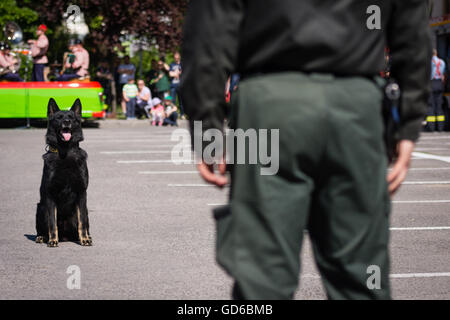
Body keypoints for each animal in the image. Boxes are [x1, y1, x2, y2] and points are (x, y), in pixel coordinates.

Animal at [36, 98, 92, 248]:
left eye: (71, 118)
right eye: (59, 117)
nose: (66, 122)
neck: (65, 152)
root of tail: (66, 237)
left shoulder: (81, 193)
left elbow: (82, 221)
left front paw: (84, 239)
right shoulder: (50, 195)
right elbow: (52, 222)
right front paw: (52, 240)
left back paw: (86, 237)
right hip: (40, 207)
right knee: (43, 227)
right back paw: (42, 237)